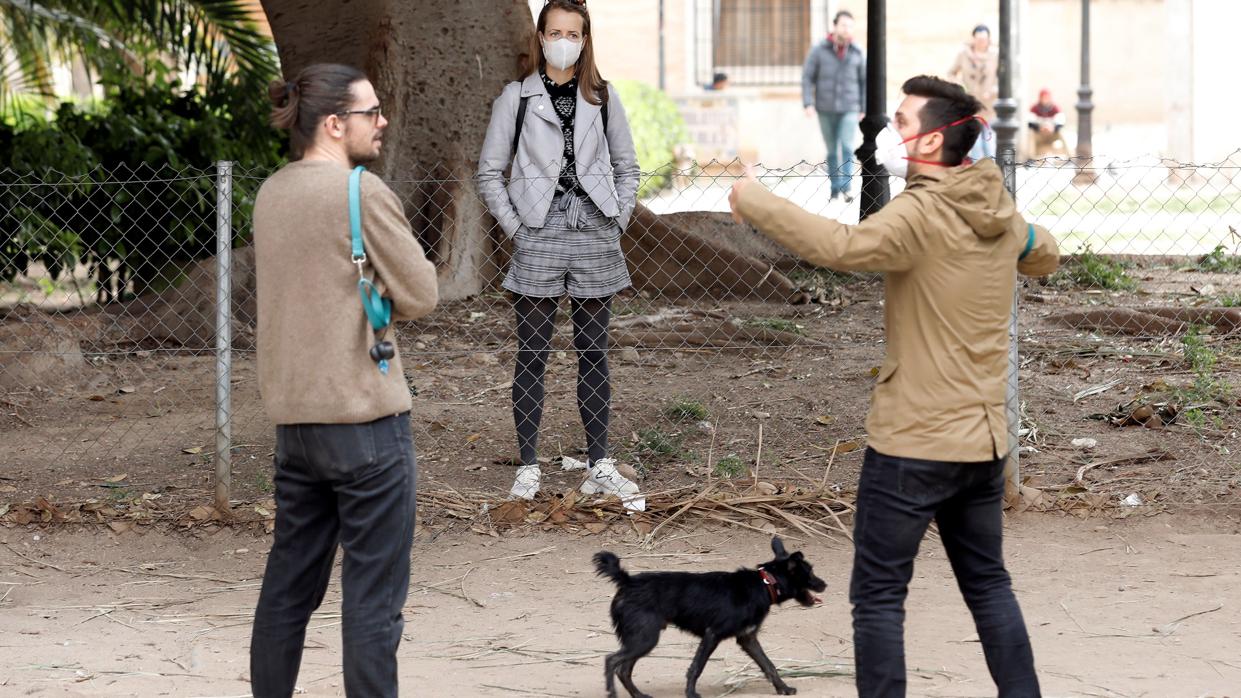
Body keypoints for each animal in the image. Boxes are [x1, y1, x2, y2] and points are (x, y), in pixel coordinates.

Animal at [590, 534, 824, 690]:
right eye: (810, 572)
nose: (825, 584)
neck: (765, 583)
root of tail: (627, 581)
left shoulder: (748, 638)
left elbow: (769, 665)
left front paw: (783, 688)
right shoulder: (713, 634)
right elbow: (696, 668)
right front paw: (691, 694)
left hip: (641, 639)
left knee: (624, 670)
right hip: (645, 639)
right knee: (612, 661)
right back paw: (612, 693)